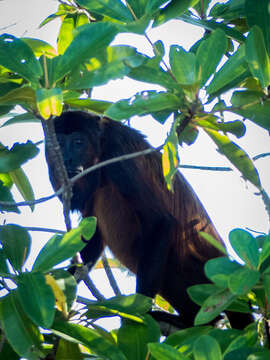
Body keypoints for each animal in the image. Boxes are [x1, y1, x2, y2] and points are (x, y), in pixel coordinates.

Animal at [46, 111, 251, 330]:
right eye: (59, 142)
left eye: (78, 142)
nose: (66, 160)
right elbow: (92, 238)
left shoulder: (117, 157)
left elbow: (159, 222)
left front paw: (139, 312)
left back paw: (190, 321)